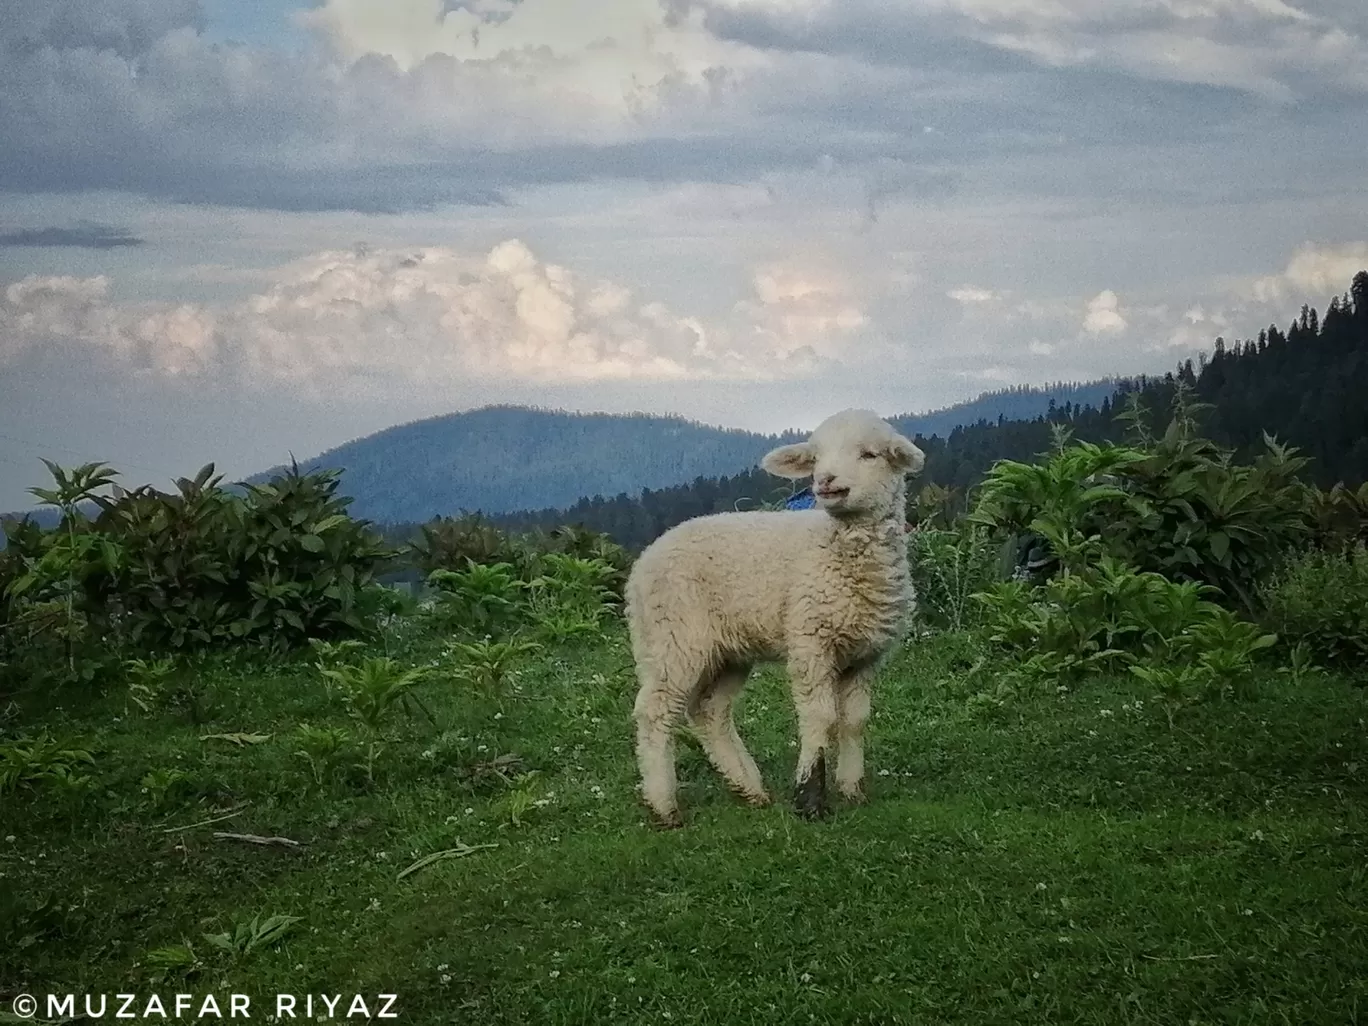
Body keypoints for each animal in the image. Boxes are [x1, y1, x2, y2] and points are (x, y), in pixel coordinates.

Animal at [626, 407, 924, 826]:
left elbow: (855, 721)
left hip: (727, 651)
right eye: (816, 457)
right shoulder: (810, 641)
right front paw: (810, 798)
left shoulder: (866, 656)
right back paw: (663, 804)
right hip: (673, 637)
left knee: (709, 712)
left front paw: (852, 789)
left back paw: (748, 788)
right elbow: (821, 717)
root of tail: (640, 565)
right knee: (655, 711)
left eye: (869, 454)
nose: (825, 481)